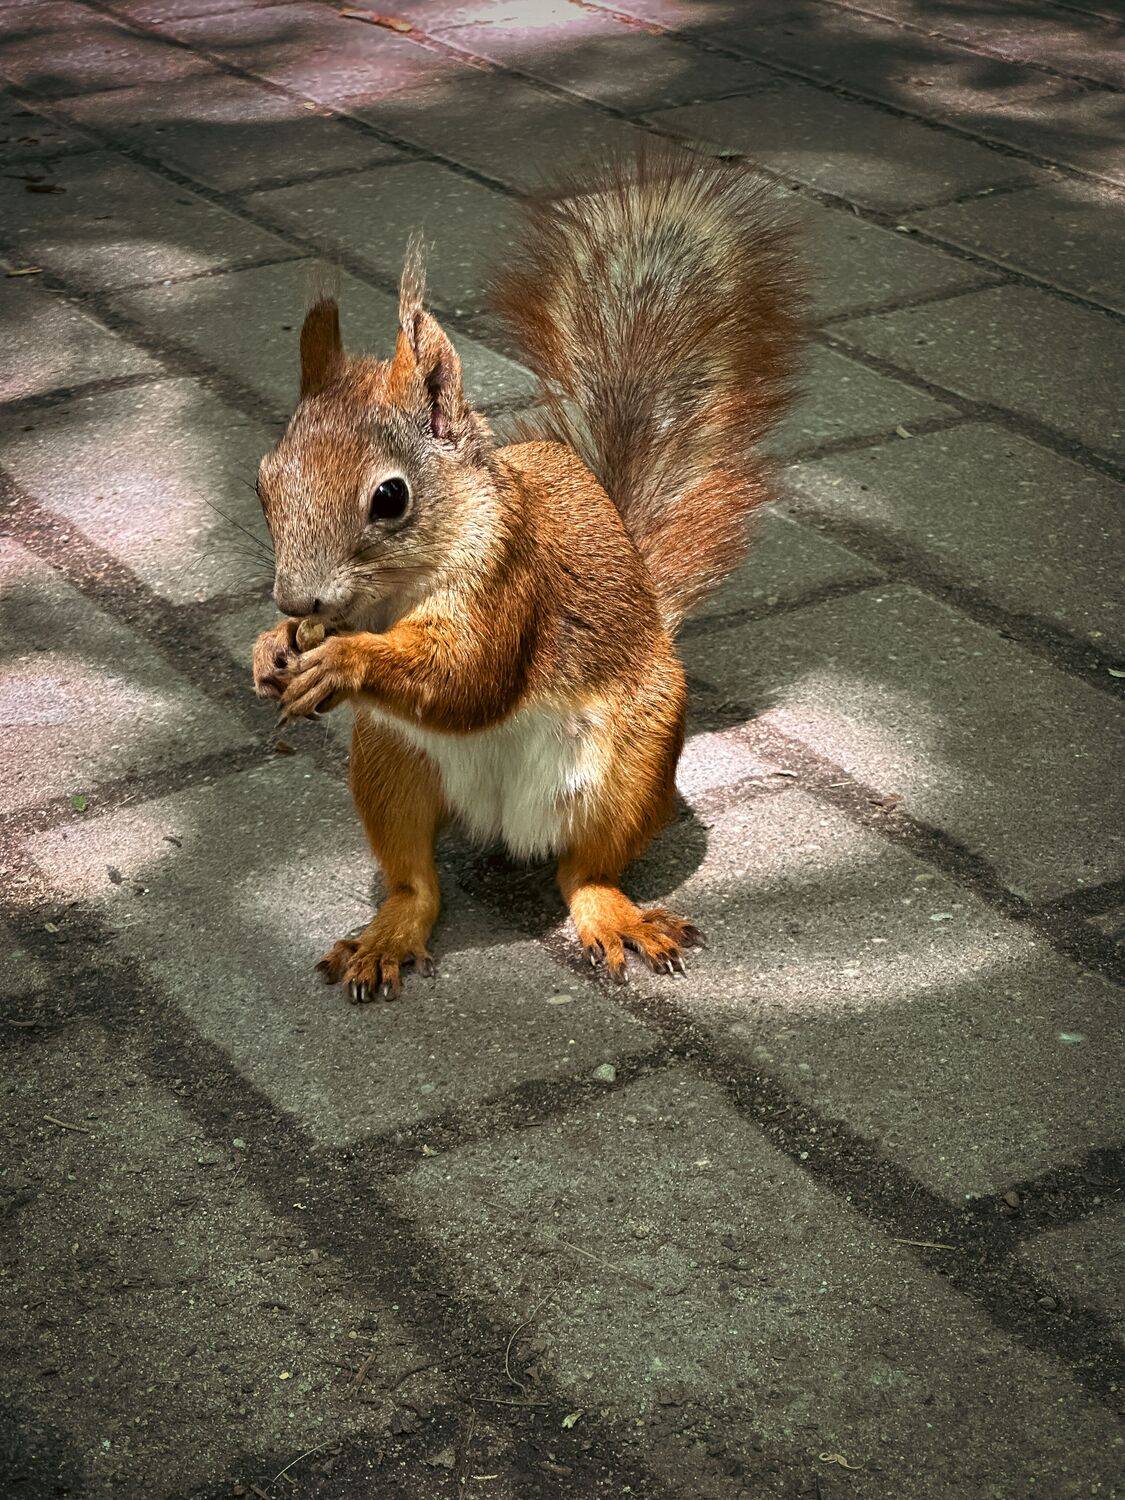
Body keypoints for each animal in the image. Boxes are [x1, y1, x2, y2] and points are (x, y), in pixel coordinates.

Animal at [252, 148, 803, 999]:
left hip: (631, 770)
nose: (296, 597)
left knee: (585, 874)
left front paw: (340, 661)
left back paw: (614, 915)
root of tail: (504, 824)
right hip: (387, 765)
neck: (392, 598)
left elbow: (470, 675)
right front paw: (269, 647)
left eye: (389, 497)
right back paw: (388, 932)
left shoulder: (513, 580)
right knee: (416, 880)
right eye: (263, 482)